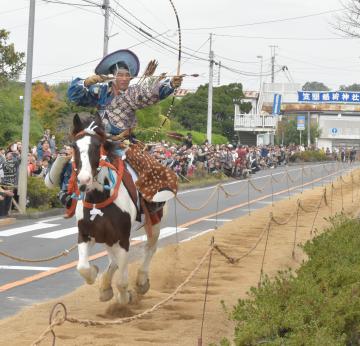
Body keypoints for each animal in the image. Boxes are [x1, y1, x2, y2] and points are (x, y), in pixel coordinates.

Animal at [69, 112, 165, 304]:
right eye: (74, 146)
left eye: (97, 146)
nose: (83, 180)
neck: (99, 198)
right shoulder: (85, 234)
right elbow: (83, 267)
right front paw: (96, 275)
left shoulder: (122, 237)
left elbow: (122, 281)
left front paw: (125, 295)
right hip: (109, 237)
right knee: (114, 258)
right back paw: (106, 285)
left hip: (154, 218)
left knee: (150, 247)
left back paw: (141, 281)